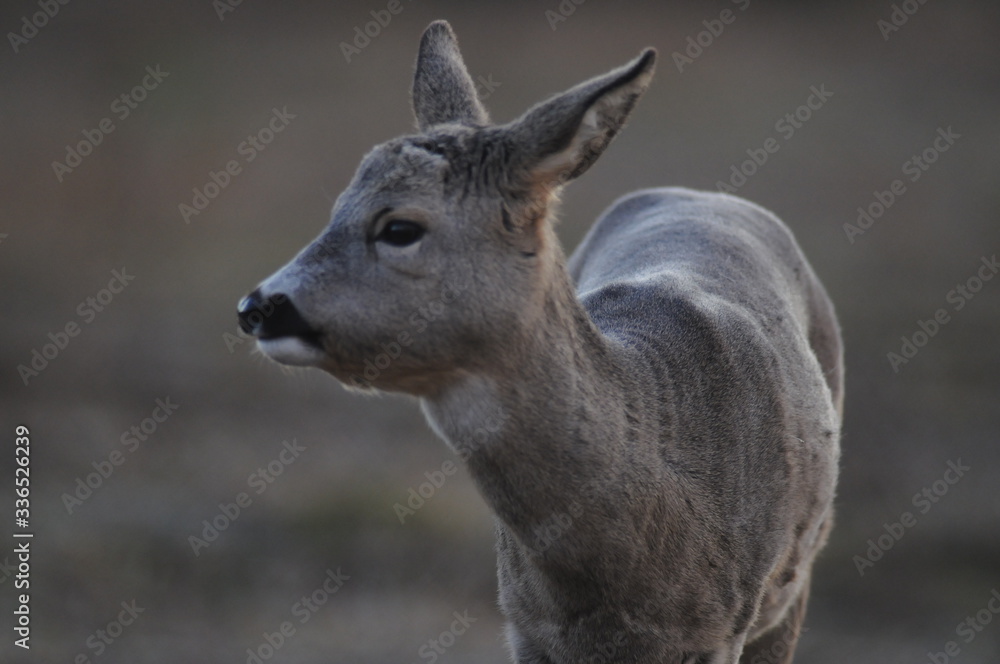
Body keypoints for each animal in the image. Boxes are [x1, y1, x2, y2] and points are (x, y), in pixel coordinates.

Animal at [237, 20, 842, 664]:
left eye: (399, 227)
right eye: (335, 209)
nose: (257, 307)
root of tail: (705, 196)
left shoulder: (723, 629)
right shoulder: (525, 626)